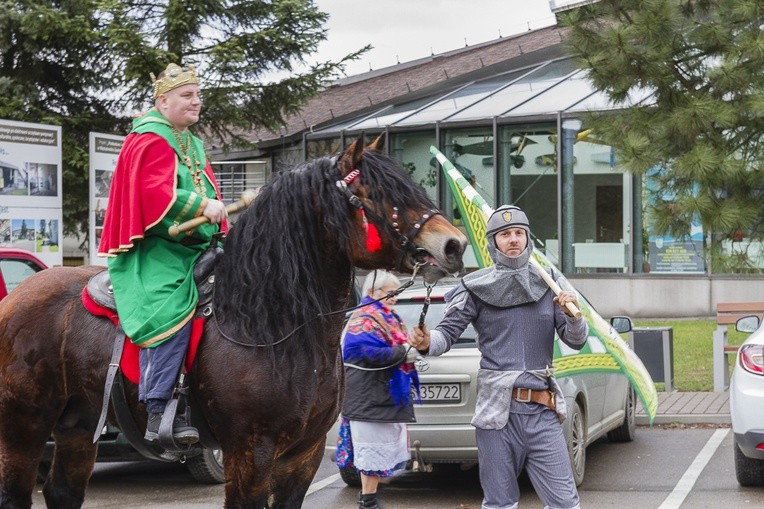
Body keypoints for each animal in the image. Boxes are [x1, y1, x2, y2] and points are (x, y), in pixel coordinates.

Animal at [0, 133, 466, 506]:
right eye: (375, 194)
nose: (454, 245)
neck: (273, 323)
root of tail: (16, 297)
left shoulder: (304, 455)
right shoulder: (249, 453)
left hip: (77, 424)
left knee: (62, 492)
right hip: (24, 426)